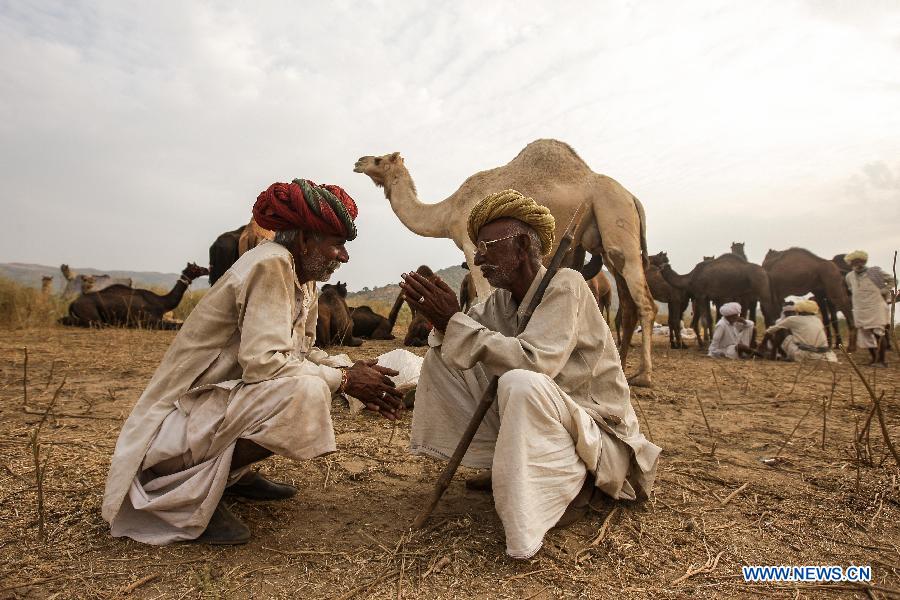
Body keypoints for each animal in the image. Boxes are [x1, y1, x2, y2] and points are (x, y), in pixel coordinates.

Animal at [60, 262, 208, 328]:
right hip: (92, 315)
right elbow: (178, 325)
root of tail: (73, 303)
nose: (207, 269)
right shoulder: (149, 321)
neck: (162, 303)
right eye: (196, 267)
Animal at [356, 138, 656, 386]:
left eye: (379, 159)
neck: (448, 211)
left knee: (645, 302)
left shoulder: (473, 247)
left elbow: (481, 299)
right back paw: (625, 368)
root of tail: (633, 197)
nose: (358, 161)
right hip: (606, 240)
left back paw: (645, 377)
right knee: (628, 303)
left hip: (616, 221)